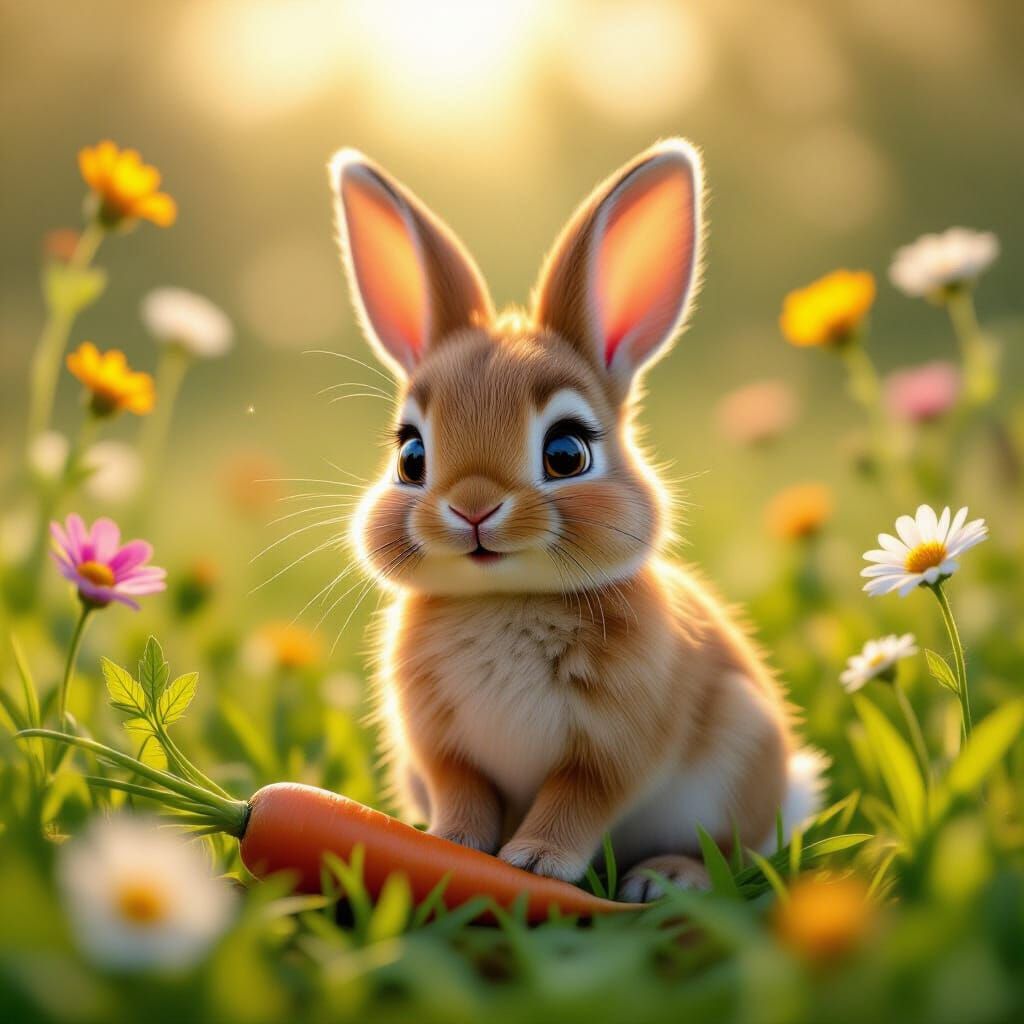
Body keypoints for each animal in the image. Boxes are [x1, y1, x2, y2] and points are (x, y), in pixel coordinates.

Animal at [327, 138, 825, 900]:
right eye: (411, 455)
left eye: (566, 452)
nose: (473, 508)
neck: (505, 599)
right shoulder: (442, 750)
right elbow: (464, 793)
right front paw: (451, 844)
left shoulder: (613, 748)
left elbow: (577, 800)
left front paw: (534, 863)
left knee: (731, 853)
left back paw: (663, 879)